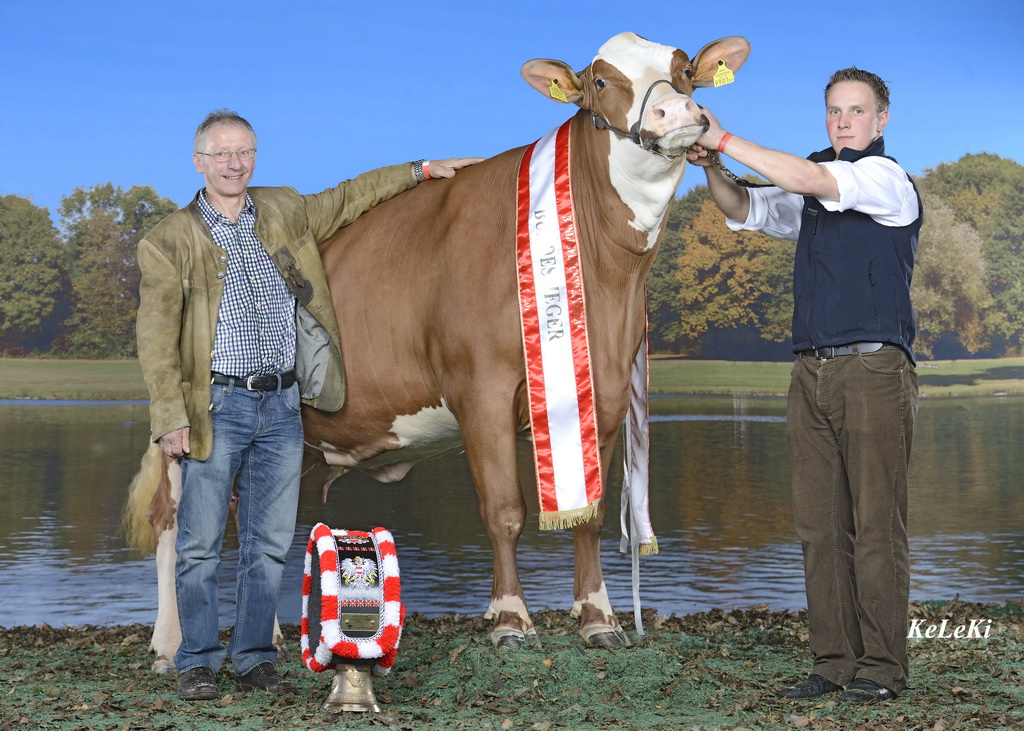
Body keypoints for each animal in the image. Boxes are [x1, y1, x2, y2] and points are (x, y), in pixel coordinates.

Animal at [128, 31, 753, 663]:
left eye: (685, 70)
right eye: (601, 81)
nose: (676, 112)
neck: (608, 274)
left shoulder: (602, 391)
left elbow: (589, 516)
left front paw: (598, 617)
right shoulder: (480, 389)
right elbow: (504, 511)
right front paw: (509, 619)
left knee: (255, 520)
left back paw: (272, 637)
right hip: (184, 429)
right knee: (173, 522)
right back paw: (169, 642)